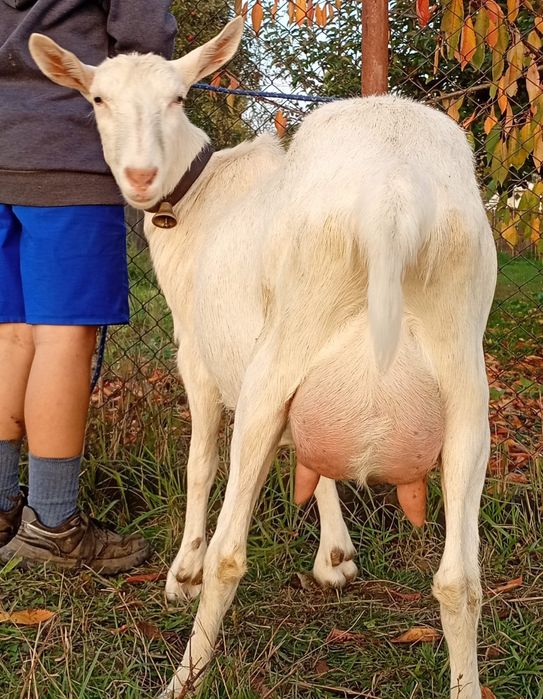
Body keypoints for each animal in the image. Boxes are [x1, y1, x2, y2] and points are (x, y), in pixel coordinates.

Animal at [30, 18, 497, 699]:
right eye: (99, 100)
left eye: (177, 97)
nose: (141, 176)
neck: (201, 197)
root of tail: (393, 199)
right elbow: (313, 456)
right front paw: (336, 557)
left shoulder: (198, 358)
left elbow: (201, 462)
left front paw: (182, 572)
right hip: (463, 387)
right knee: (460, 580)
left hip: (272, 368)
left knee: (231, 553)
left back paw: (184, 674)